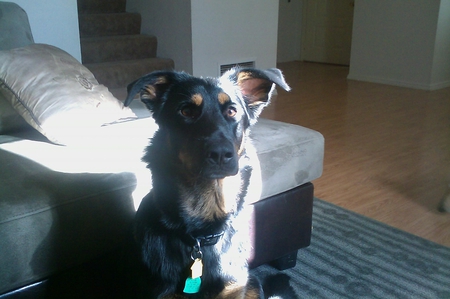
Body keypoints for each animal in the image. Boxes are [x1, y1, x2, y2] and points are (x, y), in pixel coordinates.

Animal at [125, 67, 290, 298]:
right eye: (186, 111)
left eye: (232, 111)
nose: (220, 154)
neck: (202, 233)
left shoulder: (235, 288)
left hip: (253, 284)